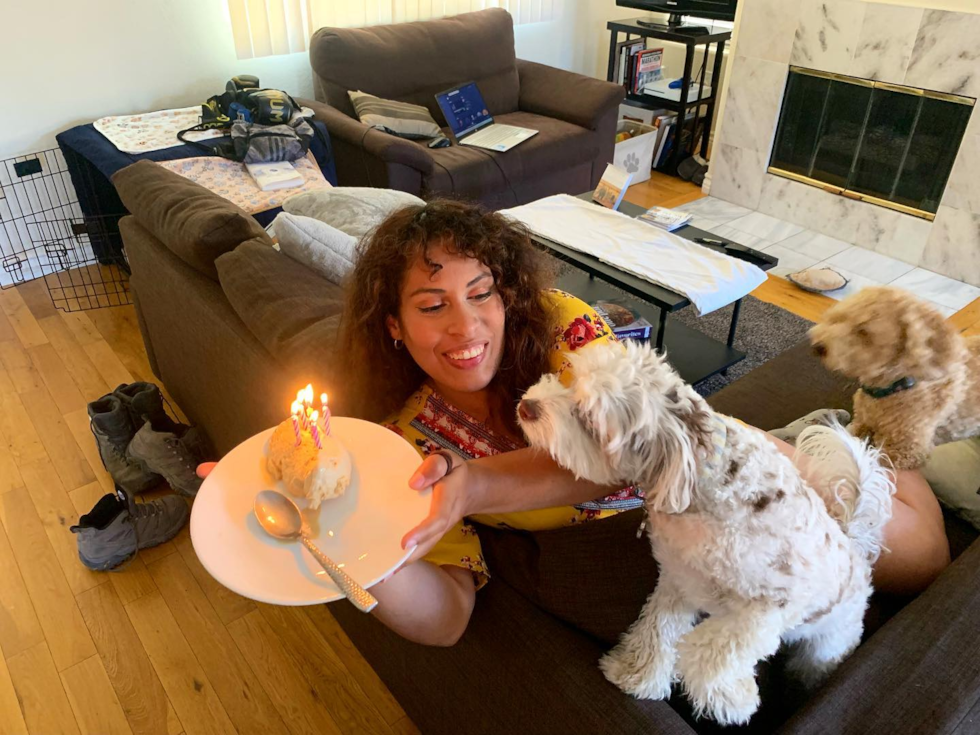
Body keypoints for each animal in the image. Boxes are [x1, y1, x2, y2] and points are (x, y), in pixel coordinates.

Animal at [520, 342, 896, 728]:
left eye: (589, 418)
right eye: (568, 379)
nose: (526, 406)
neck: (702, 490)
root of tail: (855, 546)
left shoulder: (768, 610)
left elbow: (713, 653)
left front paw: (734, 699)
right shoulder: (679, 579)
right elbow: (658, 632)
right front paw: (637, 676)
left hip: (825, 648)